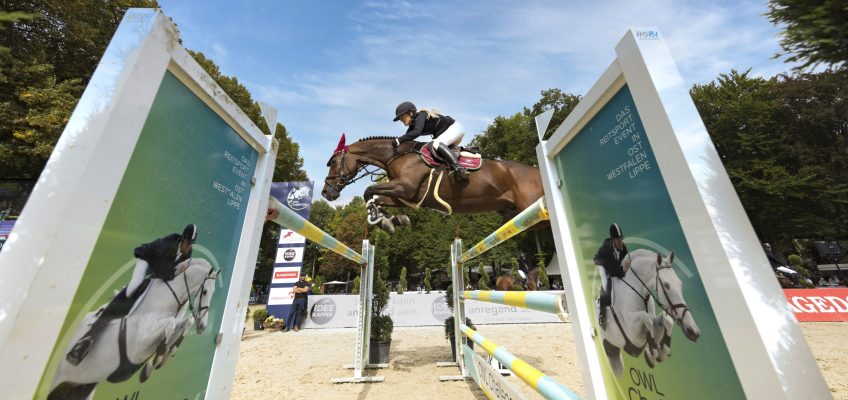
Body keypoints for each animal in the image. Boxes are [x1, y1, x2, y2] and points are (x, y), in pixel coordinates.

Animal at [318, 134, 544, 233]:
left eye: (334, 163)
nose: (326, 192)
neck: (397, 156)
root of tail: (536, 170)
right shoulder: (404, 195)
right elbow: (377, 198)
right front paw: (390, 221)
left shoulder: (405, 187)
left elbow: (368, 190)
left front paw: (379, 219)